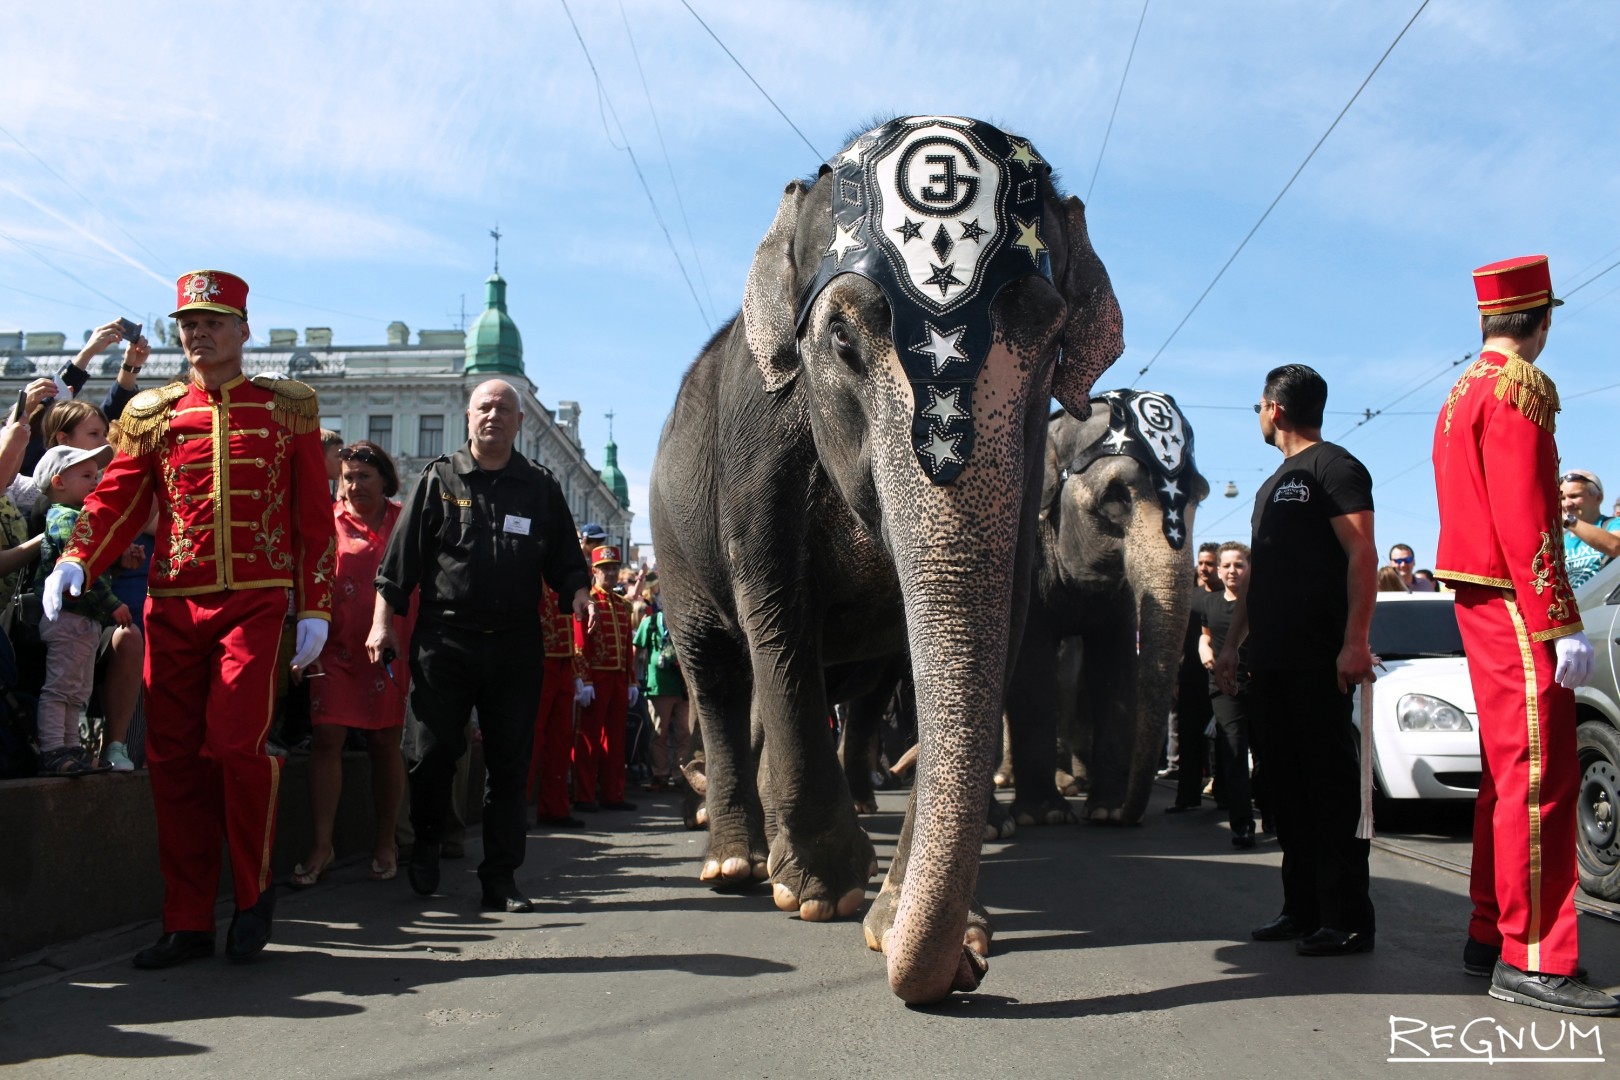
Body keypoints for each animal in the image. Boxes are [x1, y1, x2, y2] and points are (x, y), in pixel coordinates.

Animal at [651, 114, 1121, 1003]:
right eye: (840, 338)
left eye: (1051, 348)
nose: (971, 972)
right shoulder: (757, 442)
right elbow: (776, 618)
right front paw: (823, 896)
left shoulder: (1031, 468)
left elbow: (1002, 615)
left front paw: (904, 920)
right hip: (671, 544)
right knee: (719, 674)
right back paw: (734, 865)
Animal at [1004, 390, 1211, 829]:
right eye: (1115, 497)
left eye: (1199, 496)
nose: (1129, 817)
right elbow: (1032, 667)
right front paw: (1044, 816)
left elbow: (1115, 666)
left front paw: (1106, 811)